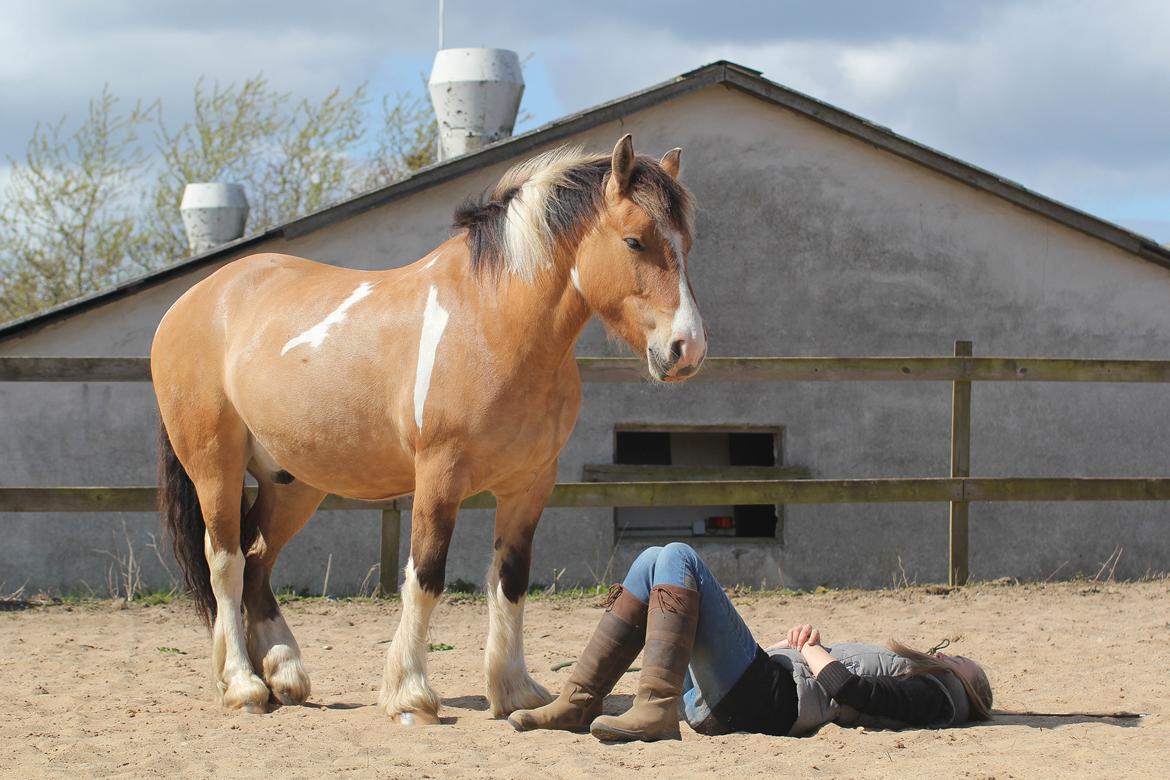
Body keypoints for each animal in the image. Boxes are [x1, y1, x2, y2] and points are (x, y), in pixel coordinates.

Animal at [153, 134, 702, 725]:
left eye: (687, 242)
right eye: (634, 240)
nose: (687, 349)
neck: (491, 324)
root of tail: (193, 301)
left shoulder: (530, 485)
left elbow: (511, 582)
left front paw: (514, 691)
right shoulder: (439, 477)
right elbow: (425, 577)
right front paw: (410, 696)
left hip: (293, 484)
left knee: (257, 560)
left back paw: (282, 673)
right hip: (216, 468)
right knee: (226, 564)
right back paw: (242, 685)